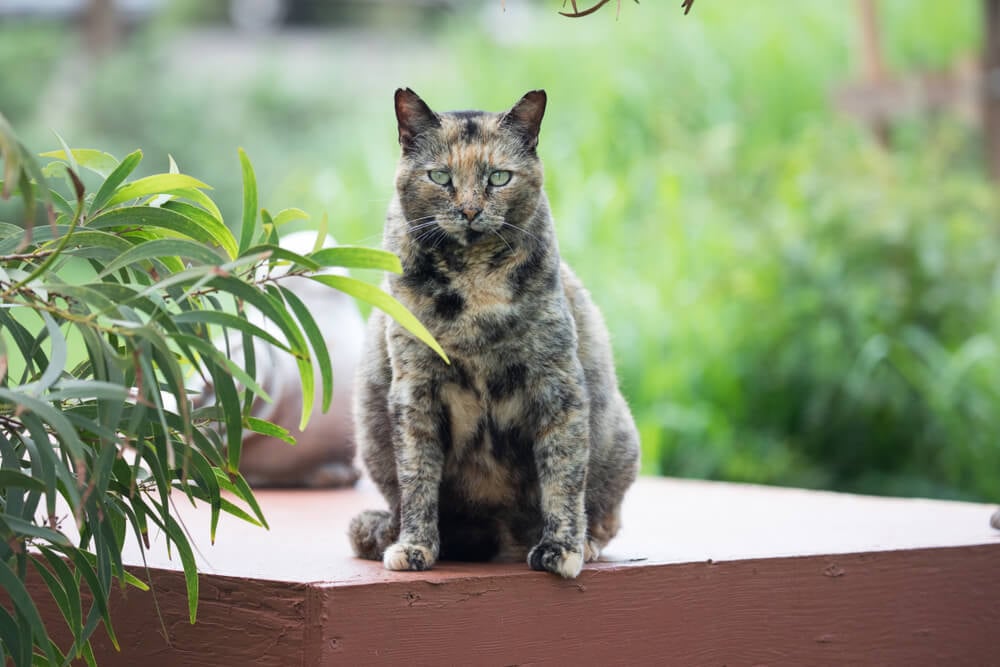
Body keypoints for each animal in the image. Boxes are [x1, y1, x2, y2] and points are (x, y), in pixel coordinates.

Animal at [348, 88, 636, 580]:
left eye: (499, 177)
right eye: (440, 176)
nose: (469, 210)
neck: (474, 288)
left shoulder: (557, 384)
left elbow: (562, 476)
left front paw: (562, 549)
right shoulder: (414, 388)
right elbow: (417, 477)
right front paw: (415, 546)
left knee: (603, 513)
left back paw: (587, 543)